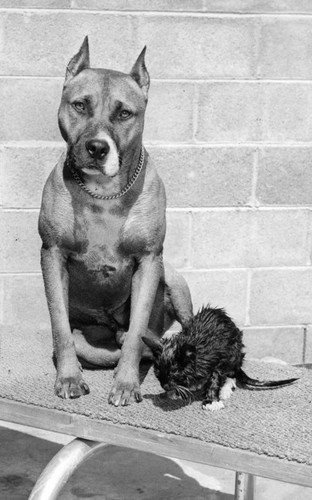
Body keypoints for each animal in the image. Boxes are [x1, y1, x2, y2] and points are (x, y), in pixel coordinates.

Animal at [37, 38, 191, 406]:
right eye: (79, 105)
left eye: (124, 113)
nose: (96, 147)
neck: (104, 195)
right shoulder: (52, 253)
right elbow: (60, 327)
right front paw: (68, 378)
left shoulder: (149, 260)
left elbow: (136, 333)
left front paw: (126, 385)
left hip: (174, 279)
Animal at [143, 304, 298, 410]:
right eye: (157, 372)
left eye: (174, 371)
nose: (164, 385)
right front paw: (176, 391)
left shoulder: (217, 360)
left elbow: (215, 379)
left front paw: (212, 400)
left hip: (234, 352)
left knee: (231, 374)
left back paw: (224, 390)